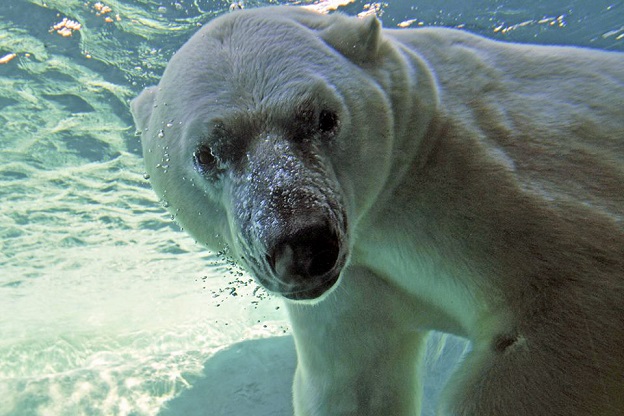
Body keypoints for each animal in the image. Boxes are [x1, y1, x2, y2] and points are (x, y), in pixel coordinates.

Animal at [132, 6, 624, 416]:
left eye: (324, 117)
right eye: (208, 153)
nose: (303, 243)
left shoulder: (494, 183)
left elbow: (568, 311)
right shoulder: (358, 280)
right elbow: (354, 380)